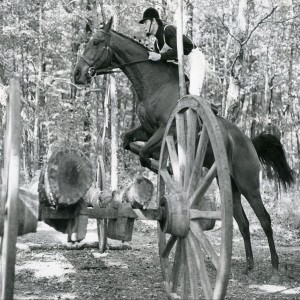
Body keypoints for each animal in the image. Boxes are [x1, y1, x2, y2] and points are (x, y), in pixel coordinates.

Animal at [74, 17, 294, 278]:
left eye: (96, 42)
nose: (78, 74)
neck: (153, 84)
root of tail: (249, 141)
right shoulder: (146, 129)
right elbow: (129, 142)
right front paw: (162, 166)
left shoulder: (164, 130)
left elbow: (146, 152)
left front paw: (165, 167)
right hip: (230, 185)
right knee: (243, 221)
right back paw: (249, 265)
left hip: (248, 183)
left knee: (265, 219)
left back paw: (275, 265)